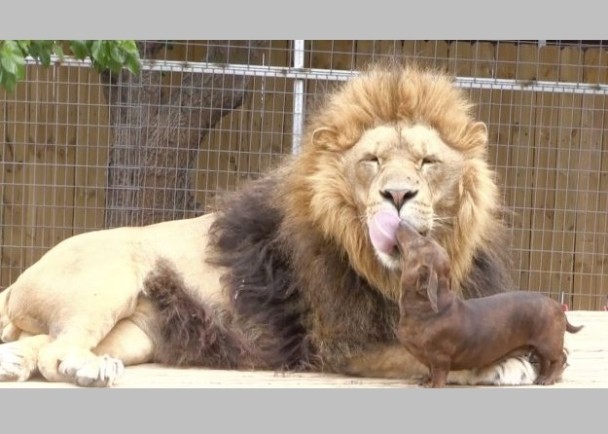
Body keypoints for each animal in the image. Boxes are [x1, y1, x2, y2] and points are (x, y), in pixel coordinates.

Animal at [0, 63, 538, 386]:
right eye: (373, 161)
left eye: (428, 162)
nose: (398, 195)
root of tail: (25, 274)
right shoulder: (342, 344)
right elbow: (431, 355)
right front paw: (504, 363)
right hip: (106, 281)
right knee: (56, 351)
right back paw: (83, 369)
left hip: (137, 334)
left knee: (37, 343)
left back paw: (19, 364)